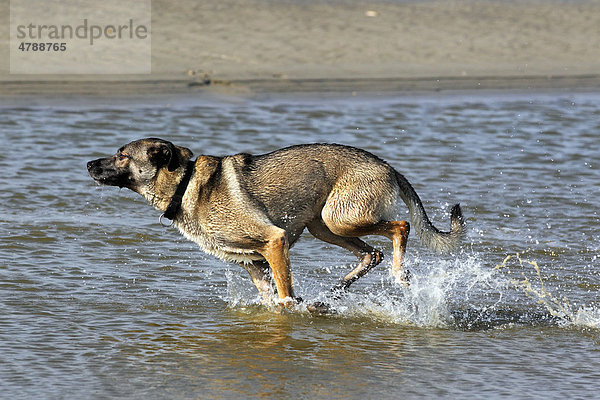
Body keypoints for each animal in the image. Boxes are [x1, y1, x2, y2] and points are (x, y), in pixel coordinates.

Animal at [88, 139, 464, 310]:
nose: (89, 164)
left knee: (400, 226)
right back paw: (334, 293)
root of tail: (387, 166)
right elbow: (273, 297)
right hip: (323, 226)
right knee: (372, 254)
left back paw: (400, 274)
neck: (184, 185)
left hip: (340, 220)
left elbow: (285, 297)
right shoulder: (254, 263)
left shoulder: (275, 242)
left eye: (122, 155)